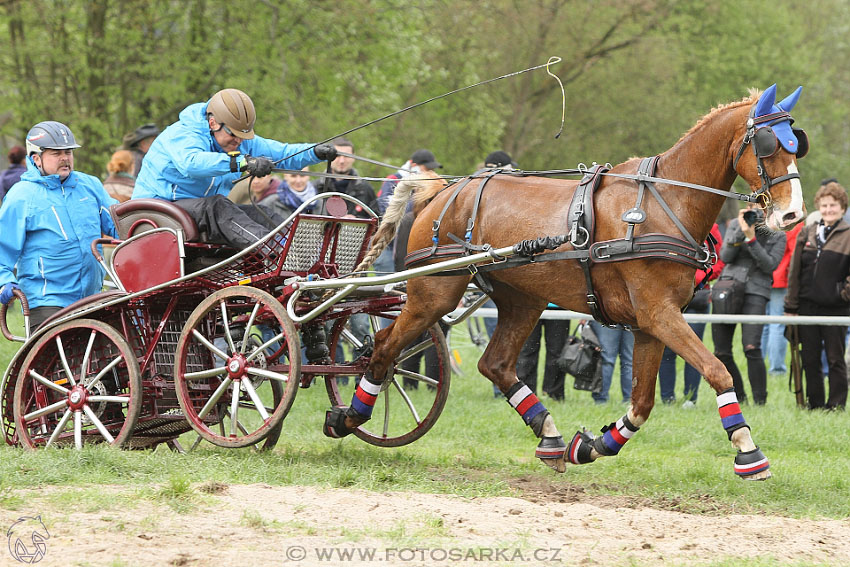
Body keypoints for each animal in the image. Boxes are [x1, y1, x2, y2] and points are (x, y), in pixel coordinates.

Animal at [322, 84, 800, 482]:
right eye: (768, 144)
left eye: (798, 144)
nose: (792, 214)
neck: (663, 203)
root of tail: (442, 192)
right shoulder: (658, 315)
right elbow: (718, 371)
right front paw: (747, 450)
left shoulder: (651, 323)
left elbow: (642, 403)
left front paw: (590, 446)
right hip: (433, 293)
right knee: (384, 349)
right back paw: (348, 416)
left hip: (521, 300)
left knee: (495, 364)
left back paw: (549, 434)